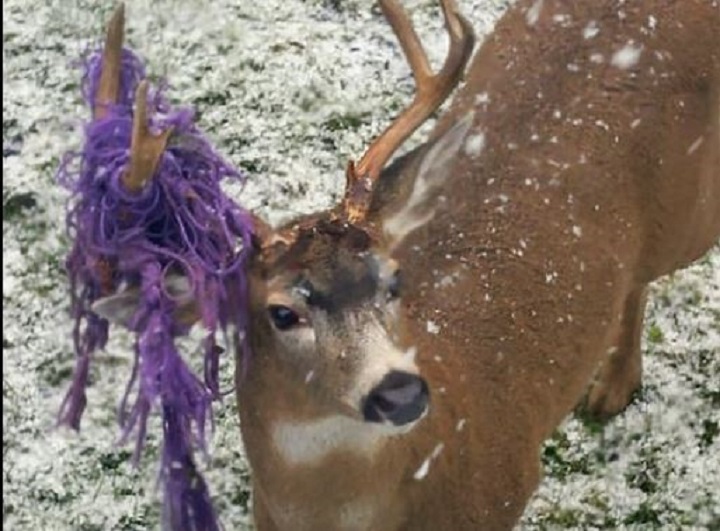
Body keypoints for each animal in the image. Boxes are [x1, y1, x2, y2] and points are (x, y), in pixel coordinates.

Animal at [90, 0, 720, 529]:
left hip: (693, 215)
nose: (398, 391)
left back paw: (614, 385)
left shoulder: (507, 488)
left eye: (393, 281)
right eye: (282, 312)